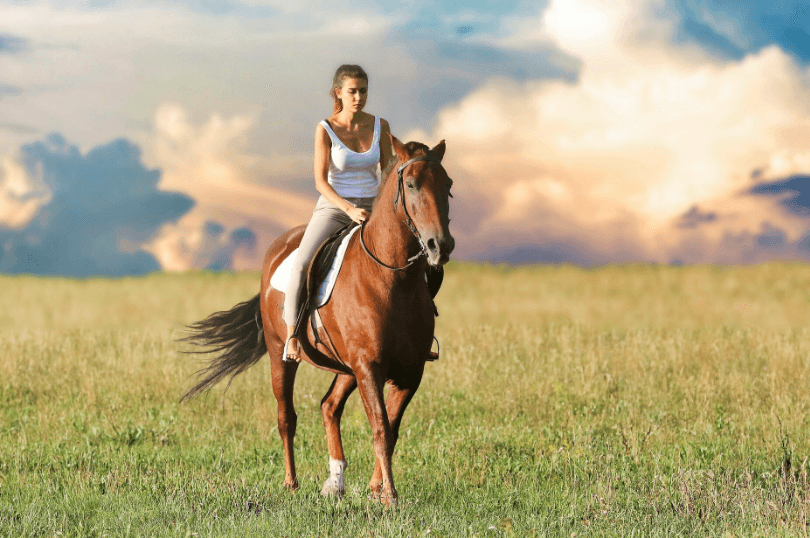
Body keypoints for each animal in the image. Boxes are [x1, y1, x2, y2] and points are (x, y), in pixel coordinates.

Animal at [180, 133, 454, 506]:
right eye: (411, 184)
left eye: (448, 185)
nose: (440, 245)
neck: (393, 278)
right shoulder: (369, 366)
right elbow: (380, 428)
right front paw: (390, 496)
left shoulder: (409, 372)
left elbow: (391, 429)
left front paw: (376, 490)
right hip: (282, 355)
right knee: (287, 417)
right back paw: (291, 482)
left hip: (345, 367)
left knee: (329, 407)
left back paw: (335, 483)